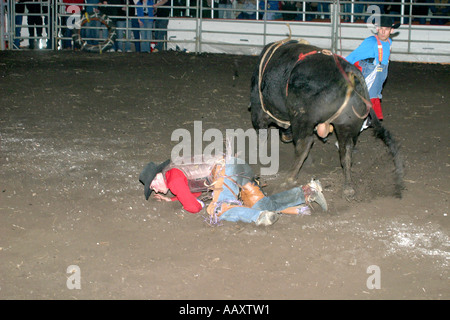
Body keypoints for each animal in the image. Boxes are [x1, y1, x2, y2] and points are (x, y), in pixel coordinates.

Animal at [250, 40, 404, 200]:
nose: (285, 136)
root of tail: (348, 72)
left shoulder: (259, 111)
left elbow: (262, 135)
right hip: (346, 124)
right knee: (346, 150)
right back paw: (348, 187)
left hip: (302, 118)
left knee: (304, 143)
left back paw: (289, 179)